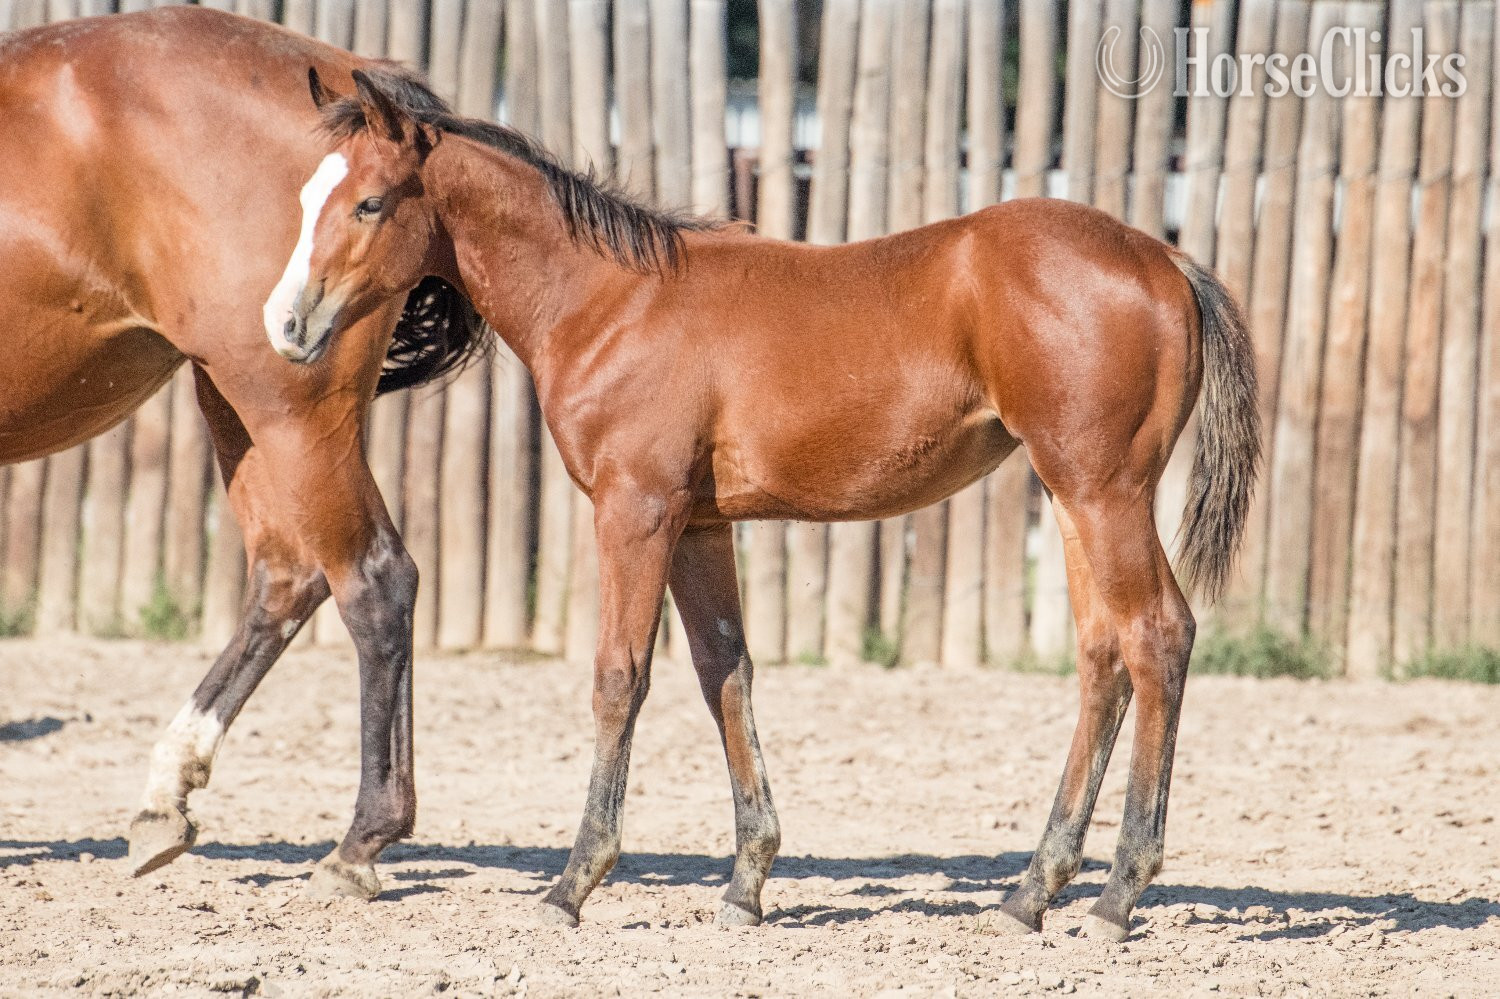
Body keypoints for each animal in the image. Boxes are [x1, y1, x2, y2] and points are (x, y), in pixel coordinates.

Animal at [0, 9, 484, 898]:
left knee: (375, 578)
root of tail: (352, 75)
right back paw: (166, 798)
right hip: (239, 405)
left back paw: (363, 838)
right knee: (286, 575)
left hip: (287, 408)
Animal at [282, 69, 1261, 940]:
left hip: (1106, 493)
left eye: (370, 203)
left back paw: (1117, 894)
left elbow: (618, 678)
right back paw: (1030, 893)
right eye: (306, 196)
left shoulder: (635, 511)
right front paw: (746, 884)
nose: (289, 325)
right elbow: (725, 671)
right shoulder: (699, 525)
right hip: (1068, 496)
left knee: (1158, 636)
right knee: (1103, 656)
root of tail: (1166, 256)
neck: (611, 300)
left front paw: (573, 882)